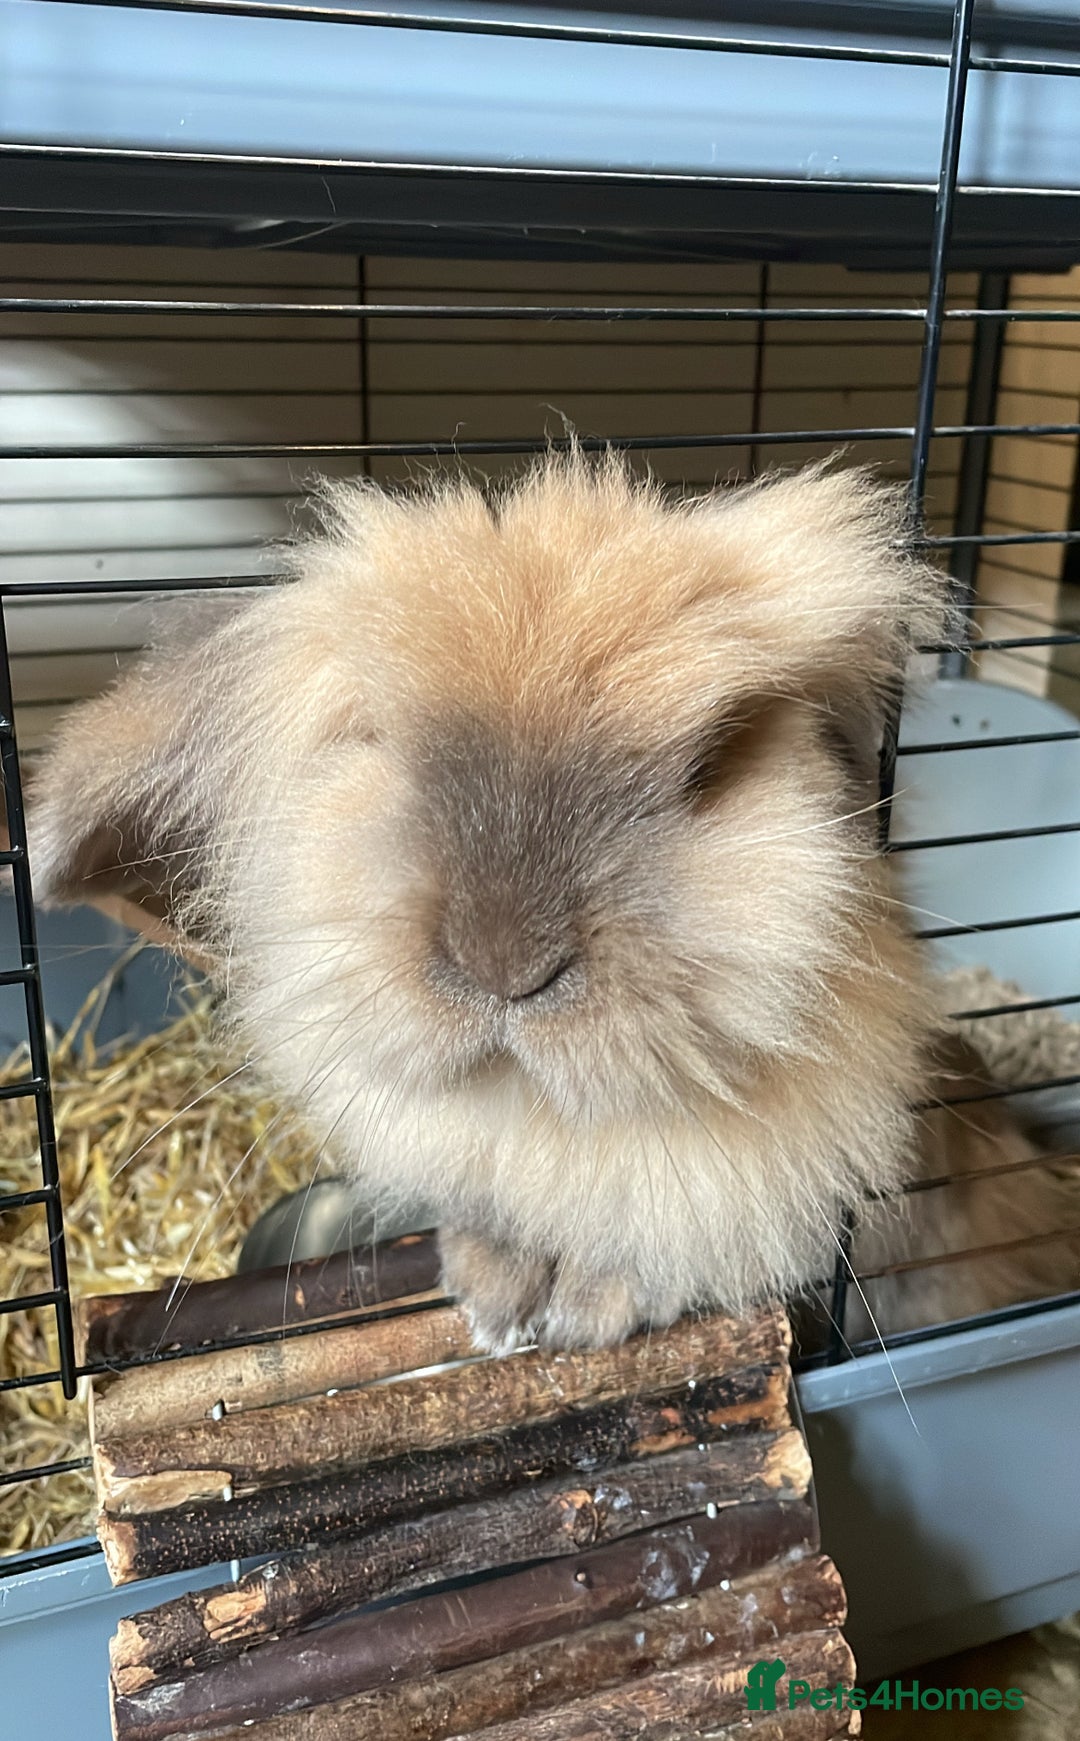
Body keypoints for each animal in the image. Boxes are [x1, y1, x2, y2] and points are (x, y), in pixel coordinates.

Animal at [26, 453, 1079, 1352]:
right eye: (379, 739)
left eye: (710, 764)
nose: (504, 963)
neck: (539, 1114)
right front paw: (492, 1297)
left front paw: (584, 1316)